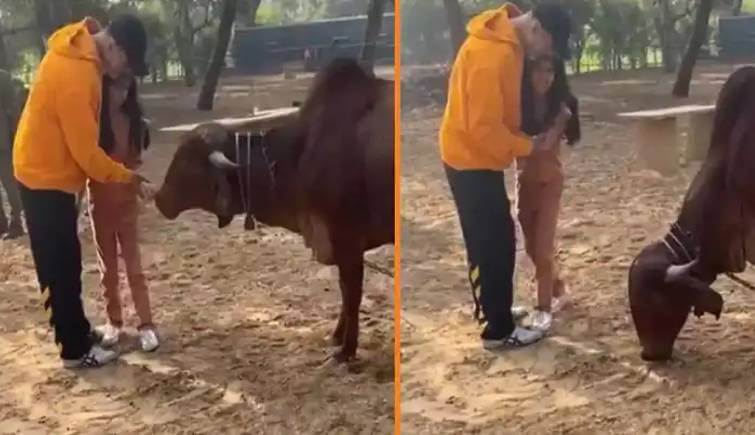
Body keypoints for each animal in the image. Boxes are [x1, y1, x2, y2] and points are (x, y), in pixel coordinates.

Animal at [154, 58, 396, 364]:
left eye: (186, 161)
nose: (159, 198)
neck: (299, 155)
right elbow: (344, 293)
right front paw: (338, 336)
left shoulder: (348, 240)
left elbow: (351, 293)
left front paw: (347, 349)